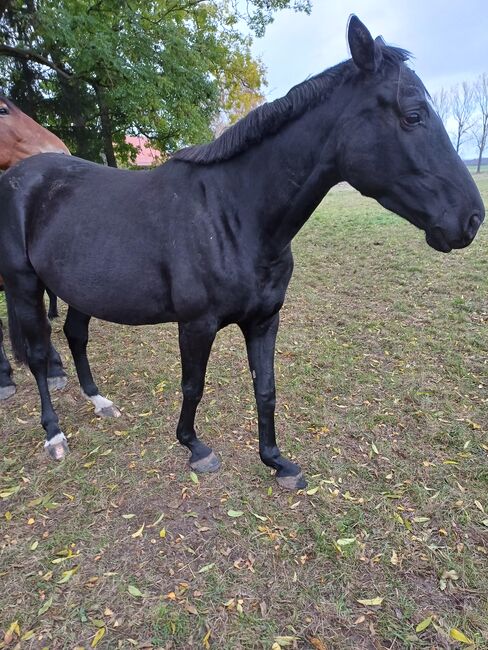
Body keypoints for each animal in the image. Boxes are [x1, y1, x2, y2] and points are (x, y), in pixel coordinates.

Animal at [0, 16, 482, 486]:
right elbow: (193, 386)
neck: (232, 214)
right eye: (413, 115)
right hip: (24, 286)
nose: (472, 218)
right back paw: (54, 434)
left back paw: (100, 402)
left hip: (81, 289)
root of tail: (20, 176)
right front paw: (195, 448)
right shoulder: (196, 325)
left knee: (75, 337)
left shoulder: (264, 321)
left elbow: (265, 389)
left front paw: (277, 461)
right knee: (40, 356)